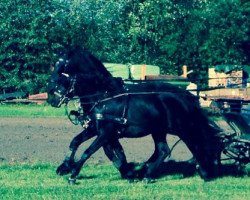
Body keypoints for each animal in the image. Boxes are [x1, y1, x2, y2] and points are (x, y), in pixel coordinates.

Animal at [47, 46, 223, 184]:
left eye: (61, 66)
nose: (51, 98)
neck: (104, 96)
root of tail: (184, 95)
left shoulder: (106, 132)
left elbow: (89, 151)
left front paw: (73, 174)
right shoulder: (95, 129)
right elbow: (76, 142)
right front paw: (64, 166)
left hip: (182, 128)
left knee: (194, 143)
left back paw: (205, 170)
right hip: (159, 130)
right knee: (163, 150)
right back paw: (147, 174)